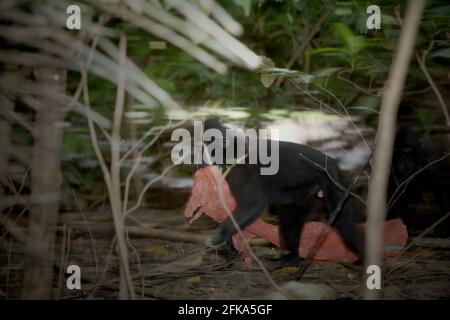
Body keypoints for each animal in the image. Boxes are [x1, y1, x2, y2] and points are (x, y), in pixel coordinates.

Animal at [198, 117, 366, 262]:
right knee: (289, 216)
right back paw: (291, 259)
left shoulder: (241, 172)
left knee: (344, 222)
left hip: (331, 182)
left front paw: (220, 237)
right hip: (305, 191)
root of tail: (332, 163)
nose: (201, 161)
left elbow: (253, 204)